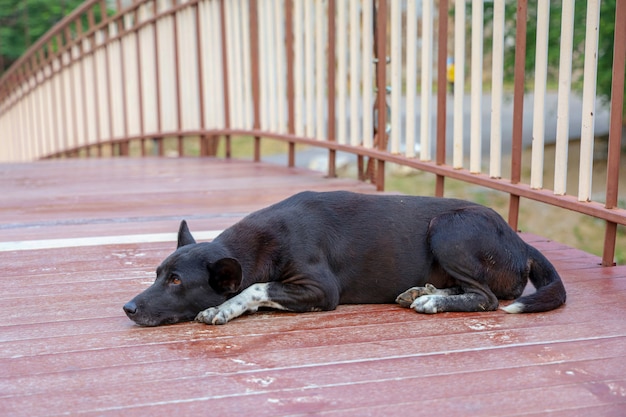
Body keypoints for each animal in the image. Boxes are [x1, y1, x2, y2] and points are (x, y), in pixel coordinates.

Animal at [123, 190, 564, 326]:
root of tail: (521, 244)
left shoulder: (320, 289)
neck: (261, 243)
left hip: (447, 227)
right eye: (158, 274)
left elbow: (256, 288)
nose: (128, 308)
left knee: (487, 298)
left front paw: (224, 308)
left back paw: (432, 301)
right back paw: (422, 291)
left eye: (177, 281)